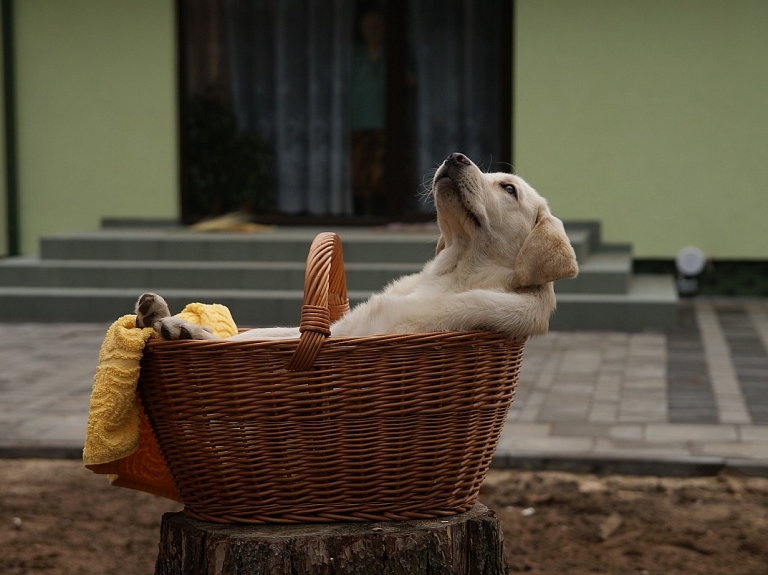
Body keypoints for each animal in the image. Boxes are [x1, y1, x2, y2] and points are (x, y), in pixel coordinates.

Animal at [138, 153, 580, 342]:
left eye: (509, 189)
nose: (455, 156)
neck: (451, 273)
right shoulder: (335, 328)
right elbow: (254, 335)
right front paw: (177, 322)